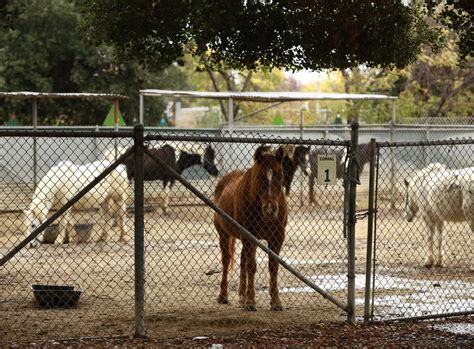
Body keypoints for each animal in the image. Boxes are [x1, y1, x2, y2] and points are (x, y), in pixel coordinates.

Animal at [213, 144, 286, 310]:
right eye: (259, 177)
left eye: (280, 175)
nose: (270, 209)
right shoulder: (249, 236)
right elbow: (251, 266)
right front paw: (251, 301)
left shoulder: (277, 237)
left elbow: (273, 266)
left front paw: (276, 301)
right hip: (224, 234)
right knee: (226, 260)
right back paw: (223, 295)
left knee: (242, 260)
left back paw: (241, 296)